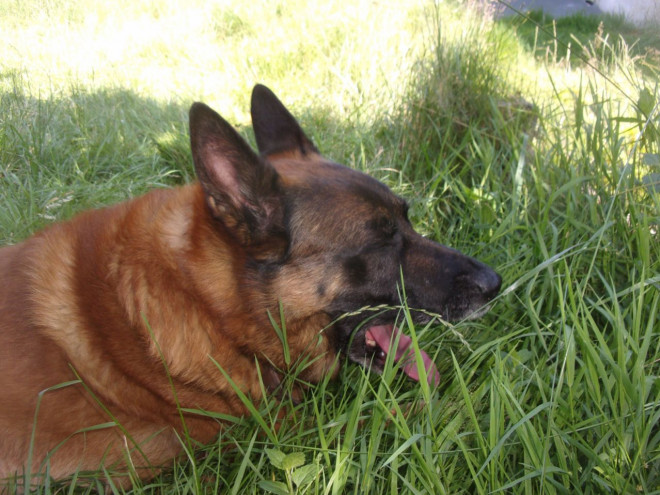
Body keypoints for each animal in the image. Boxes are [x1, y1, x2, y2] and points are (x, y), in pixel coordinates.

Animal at [0, 86, 500, 488]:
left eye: (407, 220)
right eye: (381, 239)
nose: (494, 284)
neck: (212, 302)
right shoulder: (282, 431)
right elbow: (421, 415)